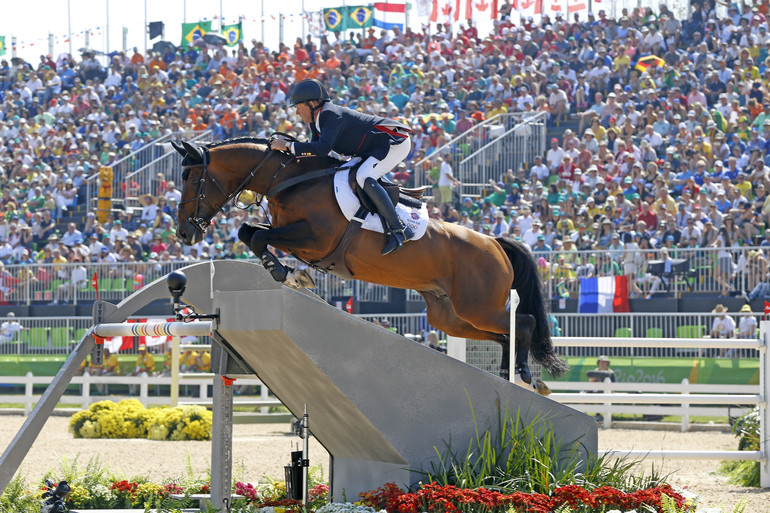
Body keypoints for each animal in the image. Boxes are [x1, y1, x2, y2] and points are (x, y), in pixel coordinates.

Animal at [170, 137, 564, 392]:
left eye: (191, 178)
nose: (184, 232)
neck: (289, 180)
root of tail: (495, 243)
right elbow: (249, 231)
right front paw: (290, 274)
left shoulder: (315, 238)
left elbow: (255, 236)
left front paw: (287, 273)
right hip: (451, 317)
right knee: (504, 333)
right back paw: (510, 376)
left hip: (477, 305)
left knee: (524, 322)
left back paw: (526, 376)